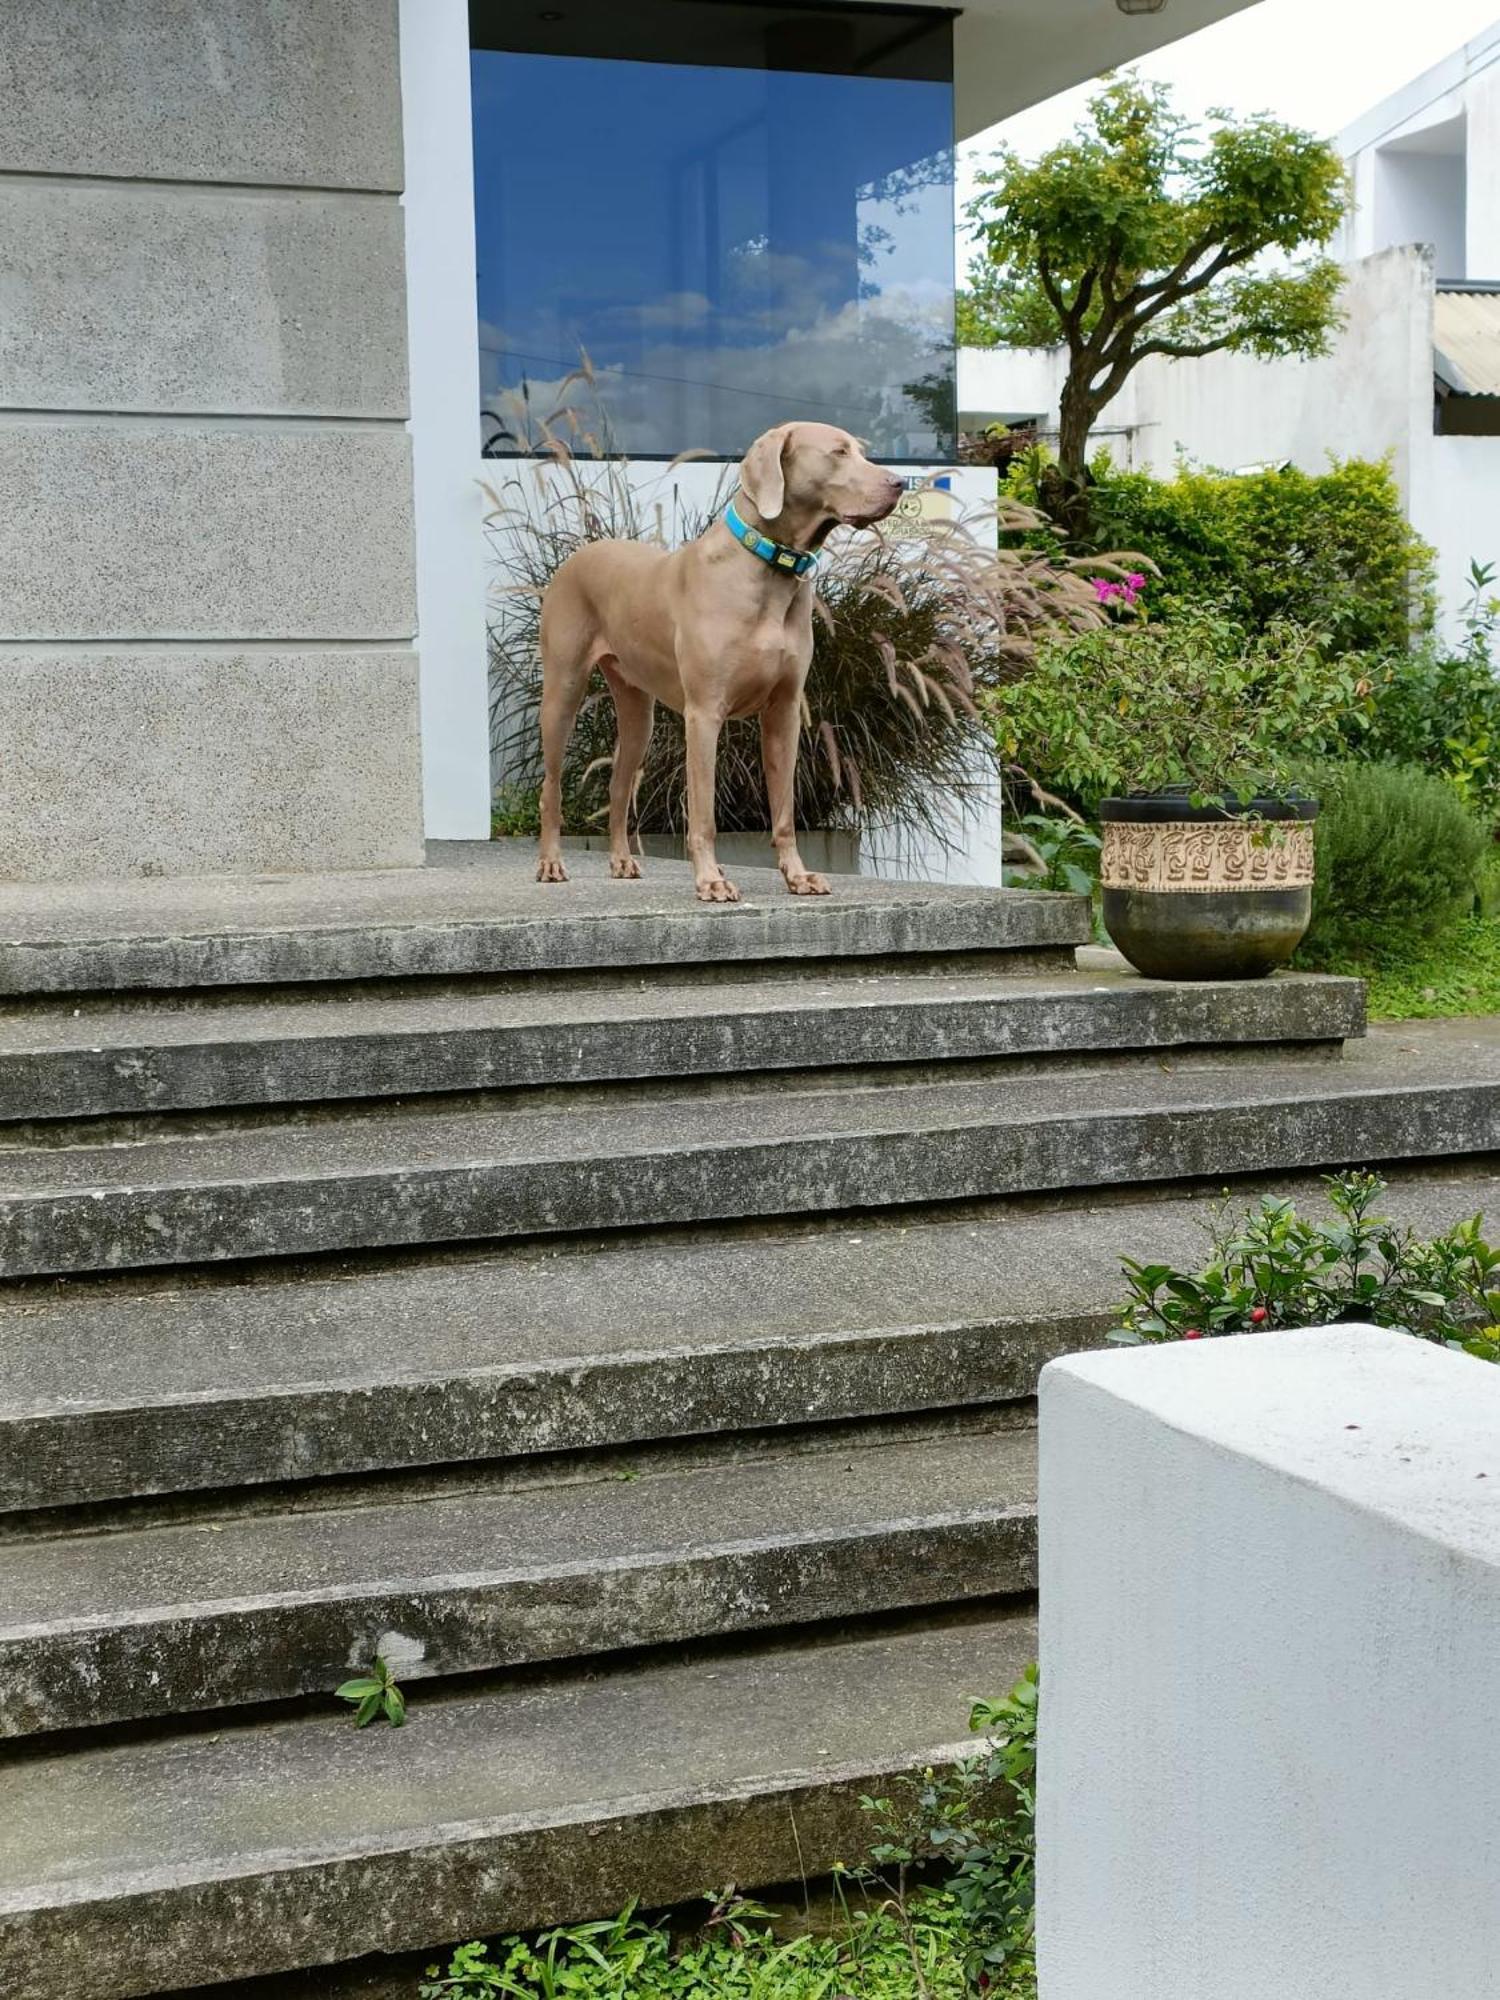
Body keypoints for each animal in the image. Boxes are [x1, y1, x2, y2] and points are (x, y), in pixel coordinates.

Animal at [540, 426, 904, 904]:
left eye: (861, 451)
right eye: (839, 452)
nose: (900, 483)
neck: (769, 568)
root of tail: (580, 555)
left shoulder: (785, 712)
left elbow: (784, 811)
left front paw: (797, 876)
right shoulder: (703, 714)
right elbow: (704, 813)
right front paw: (711, 879)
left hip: (638, 714)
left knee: (619, 784)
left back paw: (621, 860)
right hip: (563, 691)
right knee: (551, 786)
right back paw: (551, 863)